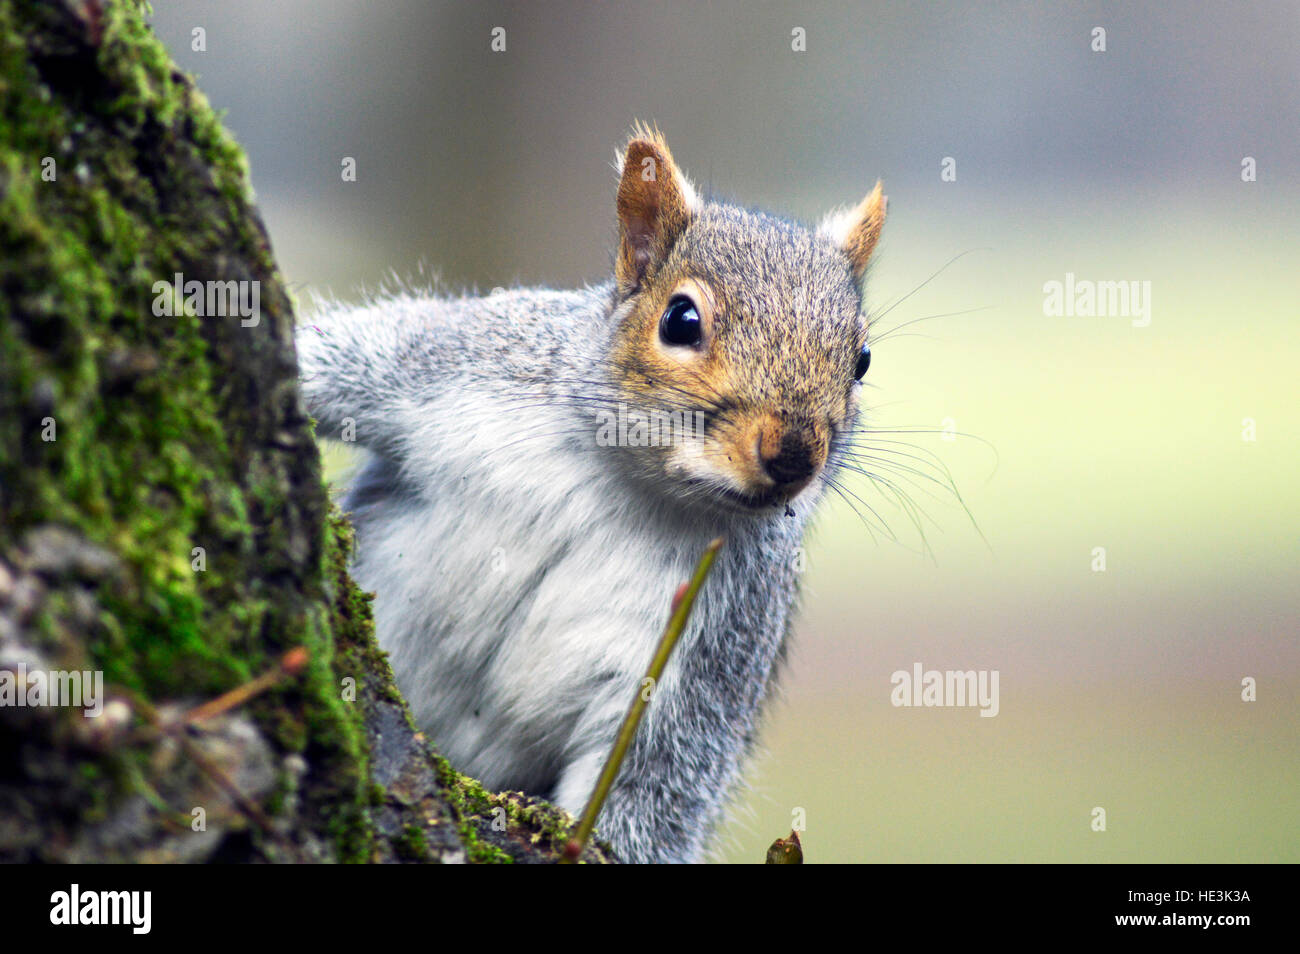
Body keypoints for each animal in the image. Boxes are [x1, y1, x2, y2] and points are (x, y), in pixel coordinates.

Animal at [293, 123, 883, 863]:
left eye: (861, 360)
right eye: (681, 320)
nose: (794, 453)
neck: (629, 482)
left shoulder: (719, 642)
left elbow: (656, 785)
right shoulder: (461, 363)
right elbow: (347, 358)